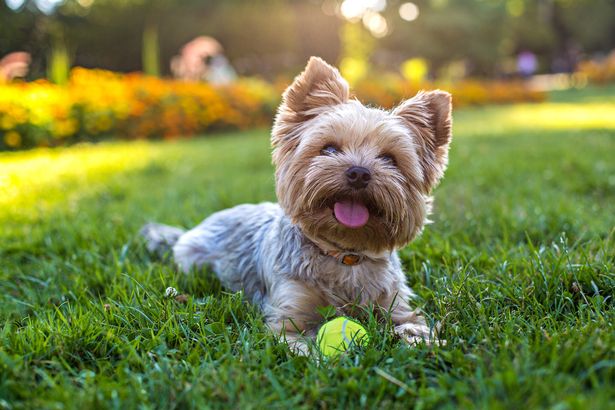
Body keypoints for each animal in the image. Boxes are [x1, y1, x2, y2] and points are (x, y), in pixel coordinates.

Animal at [143, 56, 452, 354]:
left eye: (389, 159)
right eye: (329, 149)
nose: (359, 173)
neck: (345, 255)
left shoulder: (395, 304)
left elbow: (412, 324)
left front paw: (423, 342)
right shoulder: (289, 314)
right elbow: (304, 346)